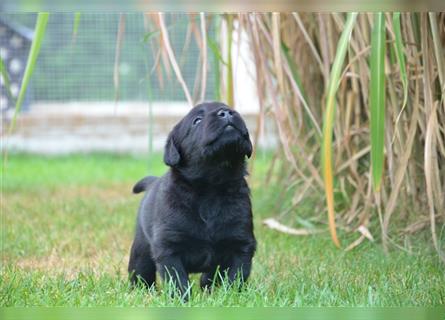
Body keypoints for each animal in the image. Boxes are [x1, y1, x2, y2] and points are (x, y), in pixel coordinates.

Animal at [127, 101, 256, 296]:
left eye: (229, 109)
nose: (226, 112)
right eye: (197, 120)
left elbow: (237, 276)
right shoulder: (169, 248)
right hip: (141, 249)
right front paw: (181, 299)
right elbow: (178, 280)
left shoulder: (241, 244)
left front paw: (232, 296)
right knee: (140, 271)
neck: (211, 187)